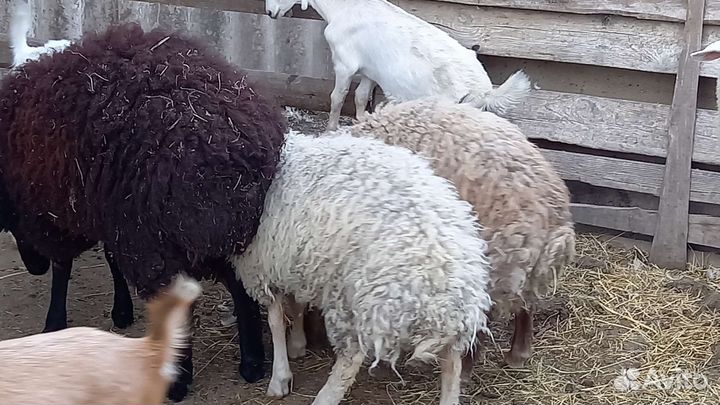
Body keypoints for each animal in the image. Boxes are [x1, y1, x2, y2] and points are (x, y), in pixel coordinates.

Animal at [231, 130, 493, 405]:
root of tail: (443, 281)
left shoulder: (261, 268)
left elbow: (276, 321)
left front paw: (280, 375)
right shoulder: (293, 262)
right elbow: (296, 306)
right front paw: (298, 343)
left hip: (355, 299)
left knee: (351, 357)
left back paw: (325, 397)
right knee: (452, 362)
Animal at [265, 0, 532, 132]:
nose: (269, 12)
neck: (346, 8)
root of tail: (485, 91)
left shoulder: (344, 63)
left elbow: (337, 97)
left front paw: (330, 129)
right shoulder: (370, 70)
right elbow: (360, 96)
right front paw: (363, 122)